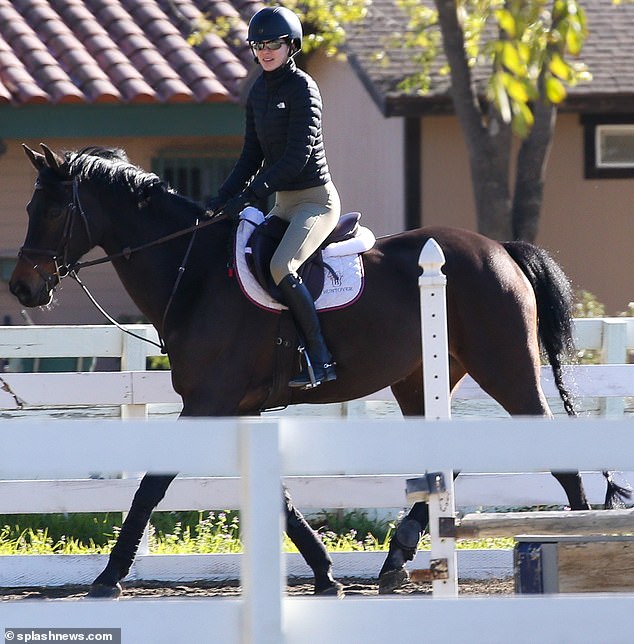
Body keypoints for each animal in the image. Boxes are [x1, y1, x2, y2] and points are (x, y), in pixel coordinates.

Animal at [11, 143, 628, 596]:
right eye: (30, 209)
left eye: (53, 210)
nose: (23, 288)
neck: (195, 272)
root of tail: (498, 248)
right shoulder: (236, 408)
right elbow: (280, 500)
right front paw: (326, 571)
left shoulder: (208, 403)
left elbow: (150, 487)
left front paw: (109, 575)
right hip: (420, 378)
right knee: (446, 458)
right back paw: (398, 554)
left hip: (505, 367)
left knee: (552, 451)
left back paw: (581, 542)